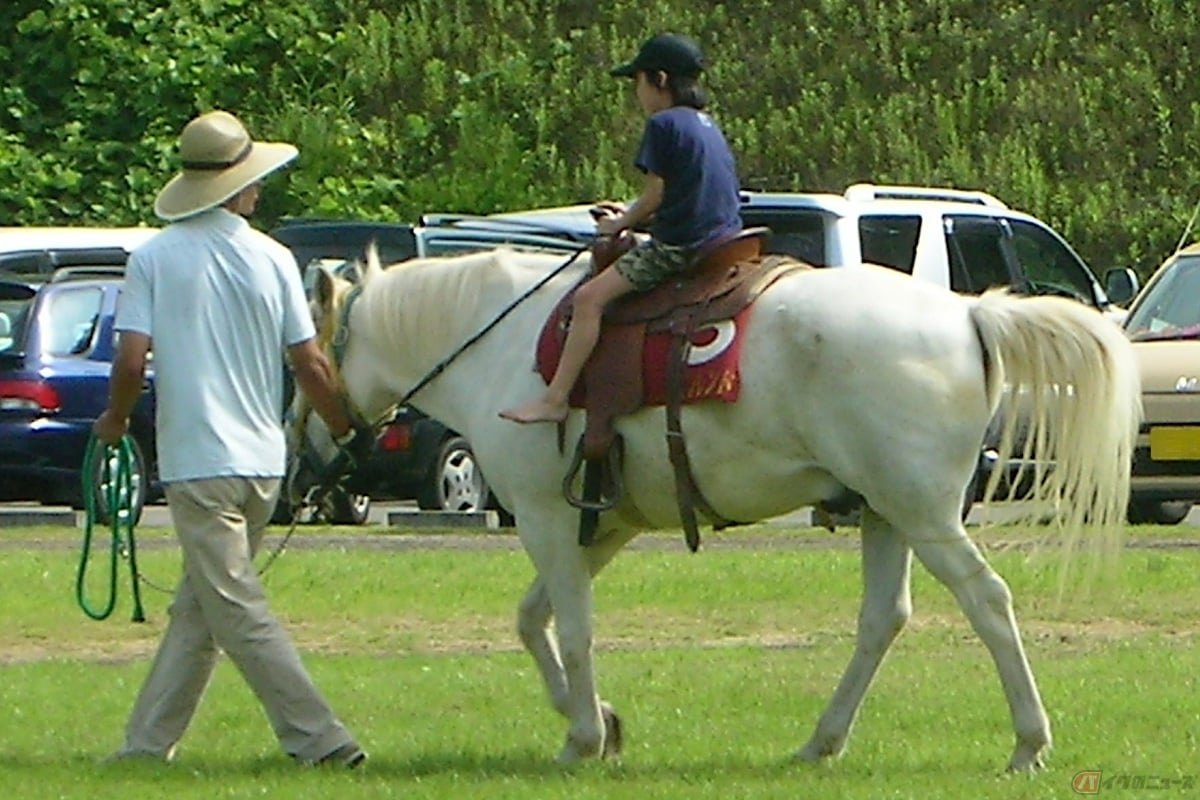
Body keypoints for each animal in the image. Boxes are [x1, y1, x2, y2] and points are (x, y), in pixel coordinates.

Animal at [298, 246, 1140, 772]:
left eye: (305, 356)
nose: (307, 448)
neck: (496, 343)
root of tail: (968, 314)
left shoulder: (545, 517)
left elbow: (571, 628)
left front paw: (582, 734)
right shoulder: (602, 526)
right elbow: (534, 620)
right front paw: (600, 721)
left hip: (924, 514)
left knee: (987, 602)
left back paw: (1028, 742)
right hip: (884, 513)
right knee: (883, 620)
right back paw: (822, 741)